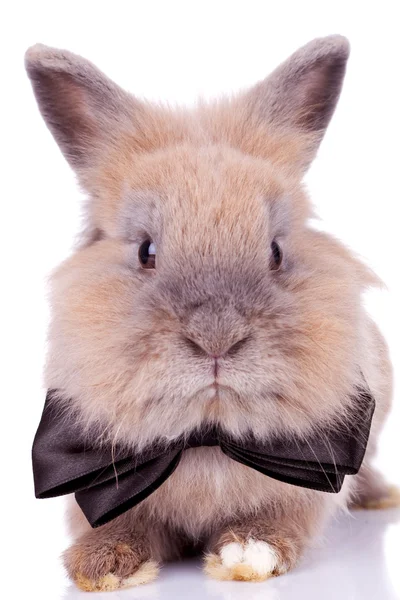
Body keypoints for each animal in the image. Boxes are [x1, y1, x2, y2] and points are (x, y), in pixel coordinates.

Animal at [25, 35, 396, 592]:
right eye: (146, 251)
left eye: (276, 251)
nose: (216, 338)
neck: (207, 435)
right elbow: (119, 525)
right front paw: (100, 565)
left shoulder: (307, 490)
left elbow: (276, 523)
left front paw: (248, 553)